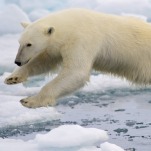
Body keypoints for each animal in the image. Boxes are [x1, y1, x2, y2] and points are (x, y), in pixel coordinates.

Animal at [4, 8, 151, 108]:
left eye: (29, 44)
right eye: (19, 42)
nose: (17, 61)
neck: (70, 24)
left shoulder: (81, 39)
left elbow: (75, 72)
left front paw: (29, 100)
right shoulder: (58, 46)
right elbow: (44, 61)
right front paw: (12, 78)